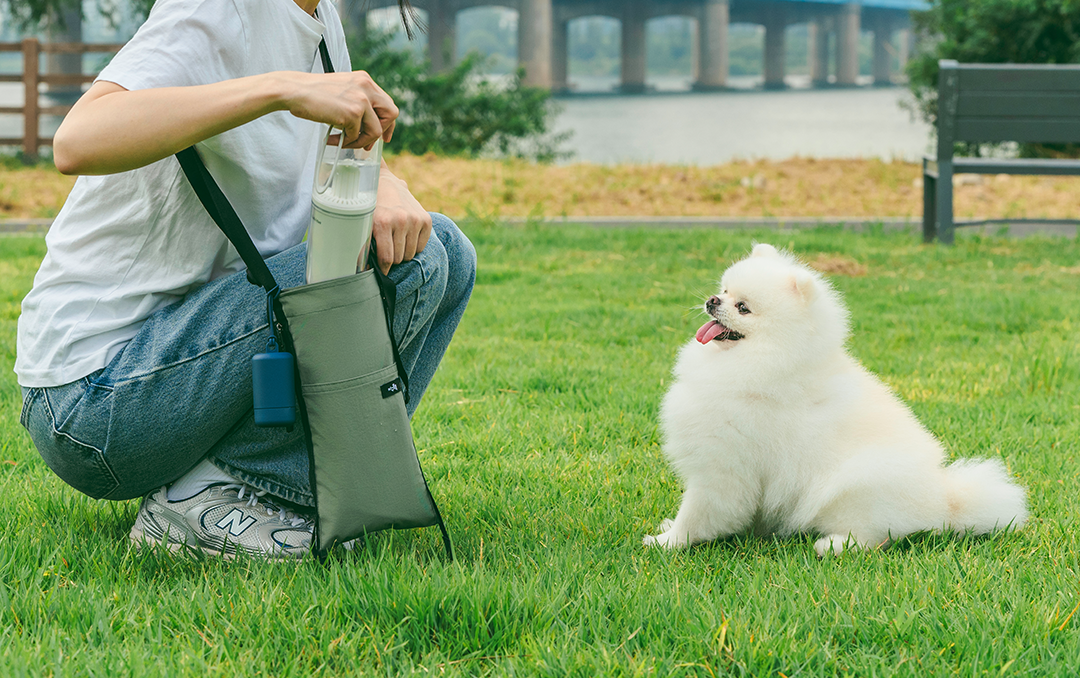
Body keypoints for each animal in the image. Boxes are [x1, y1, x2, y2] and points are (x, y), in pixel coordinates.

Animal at [643, 243, 1023, 557]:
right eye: (724, 290)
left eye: (744, 308)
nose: (712, 301)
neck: (765, 363)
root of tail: (946, 502)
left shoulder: (722, 466)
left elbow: (698, 513)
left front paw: (667, 542)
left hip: (859, 483)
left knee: (876, 537)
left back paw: (834, 545)